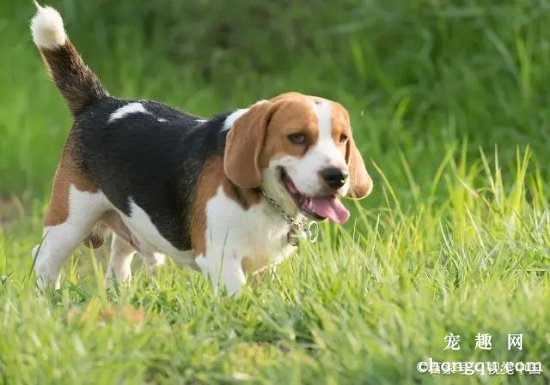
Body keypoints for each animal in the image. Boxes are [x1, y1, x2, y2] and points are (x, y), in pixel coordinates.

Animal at [31, 4, 376, 294]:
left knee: (118, 260)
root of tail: (101, 103)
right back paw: (50, 300)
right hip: (70, 221)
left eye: (342, 138)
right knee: (44, 258)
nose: (337, 176)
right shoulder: (223, 261)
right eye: (297, 137)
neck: (263, 199)